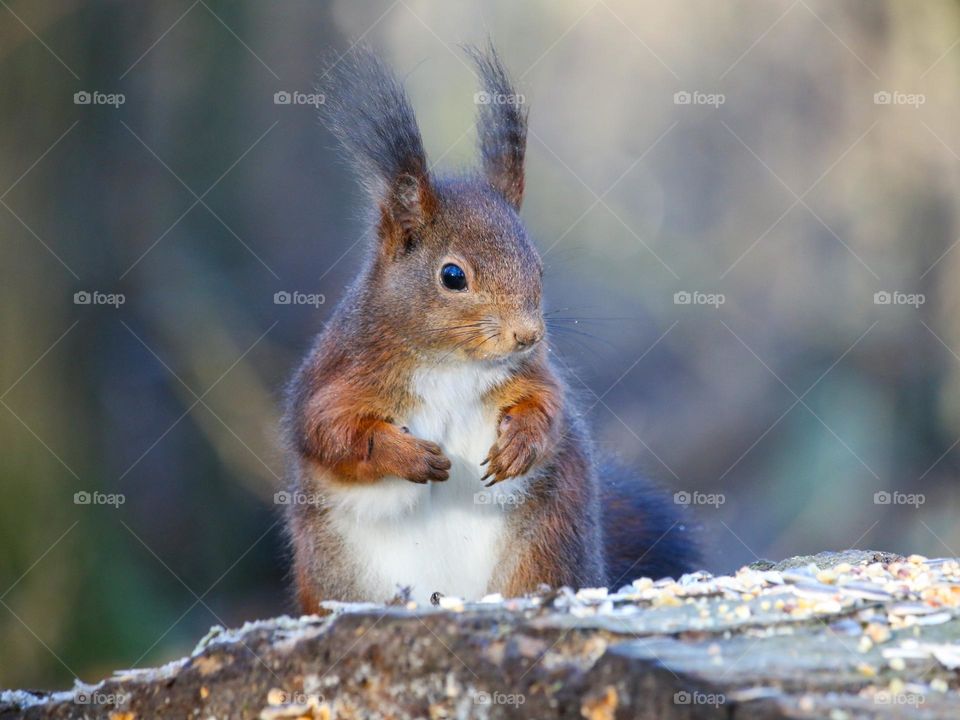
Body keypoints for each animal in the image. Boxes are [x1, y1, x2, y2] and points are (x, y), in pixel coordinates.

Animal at [282, 45, 692, 612]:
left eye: (538, 268)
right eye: (452, 276)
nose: (528, 335)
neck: (450, 364)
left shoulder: (532, 375)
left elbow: (549, 410)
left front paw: (519, 444)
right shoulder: (338, 376)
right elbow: (332, 433)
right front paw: (409, 455)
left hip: (542, 551)